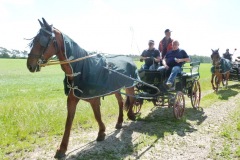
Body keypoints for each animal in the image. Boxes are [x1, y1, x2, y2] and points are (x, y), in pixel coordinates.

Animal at [26, 17, 137, 159]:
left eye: (42, 41)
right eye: (33, 41)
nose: (30, 65)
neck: (81, 68)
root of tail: (130, 59)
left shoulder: (94, 99)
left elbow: (97, 115)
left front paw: (101, 133)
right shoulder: (72, 100)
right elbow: (69, 122)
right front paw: (62, 149)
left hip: (129, 86)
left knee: (132, 99)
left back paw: (131, 115)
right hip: (116, 88)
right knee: (121, 102)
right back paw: (119, 122)